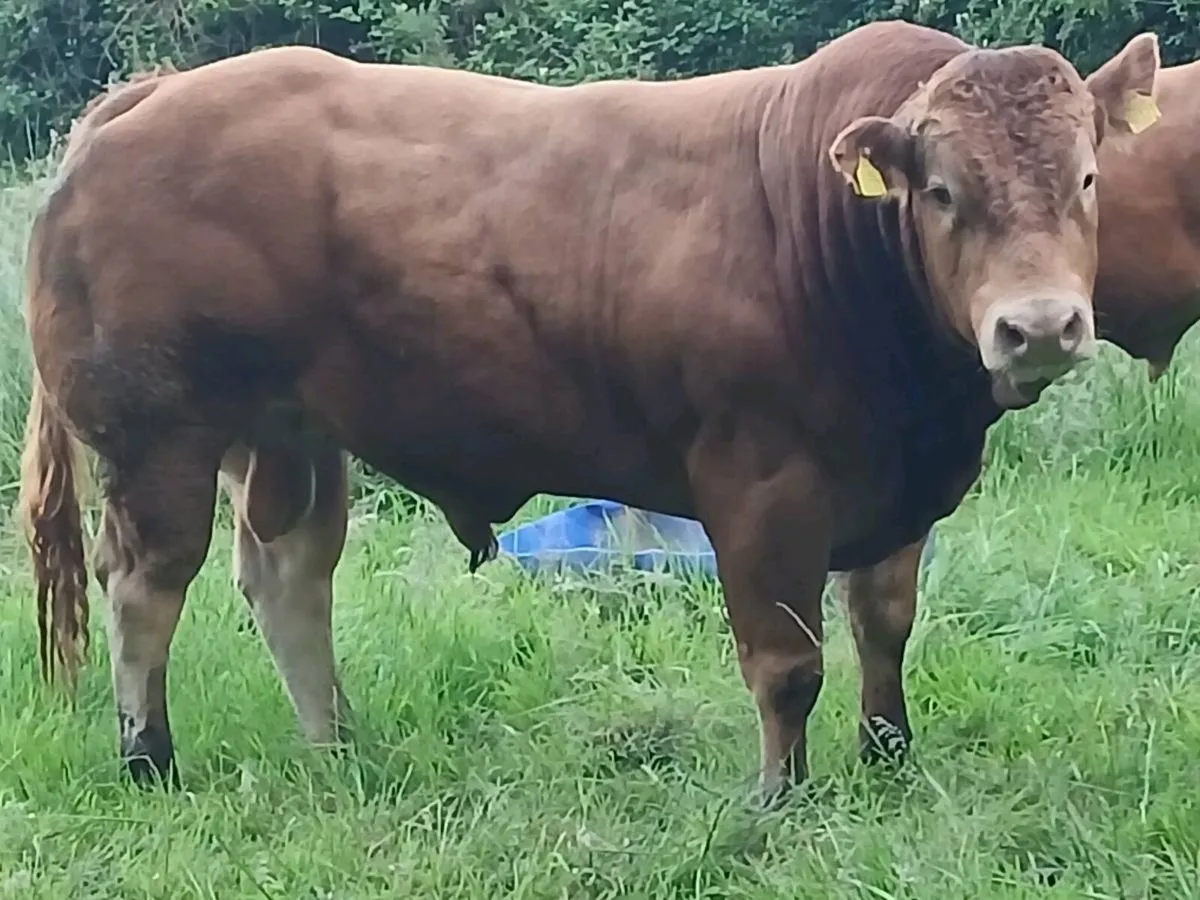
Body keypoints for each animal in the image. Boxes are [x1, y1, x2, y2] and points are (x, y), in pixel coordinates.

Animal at [17, 19, 1162, 803]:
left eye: (1087, 176)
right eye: (941, 192)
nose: (1040, 326)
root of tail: (156, 92)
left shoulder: (897, 495)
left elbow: (883, 631)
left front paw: (887, 763)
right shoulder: (761, 488)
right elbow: (787, 665)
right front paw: (779, 800)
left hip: (289, 430)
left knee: (288, 574)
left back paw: (334, 742)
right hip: (160, 435)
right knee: (147, 585)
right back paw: (149, 757)